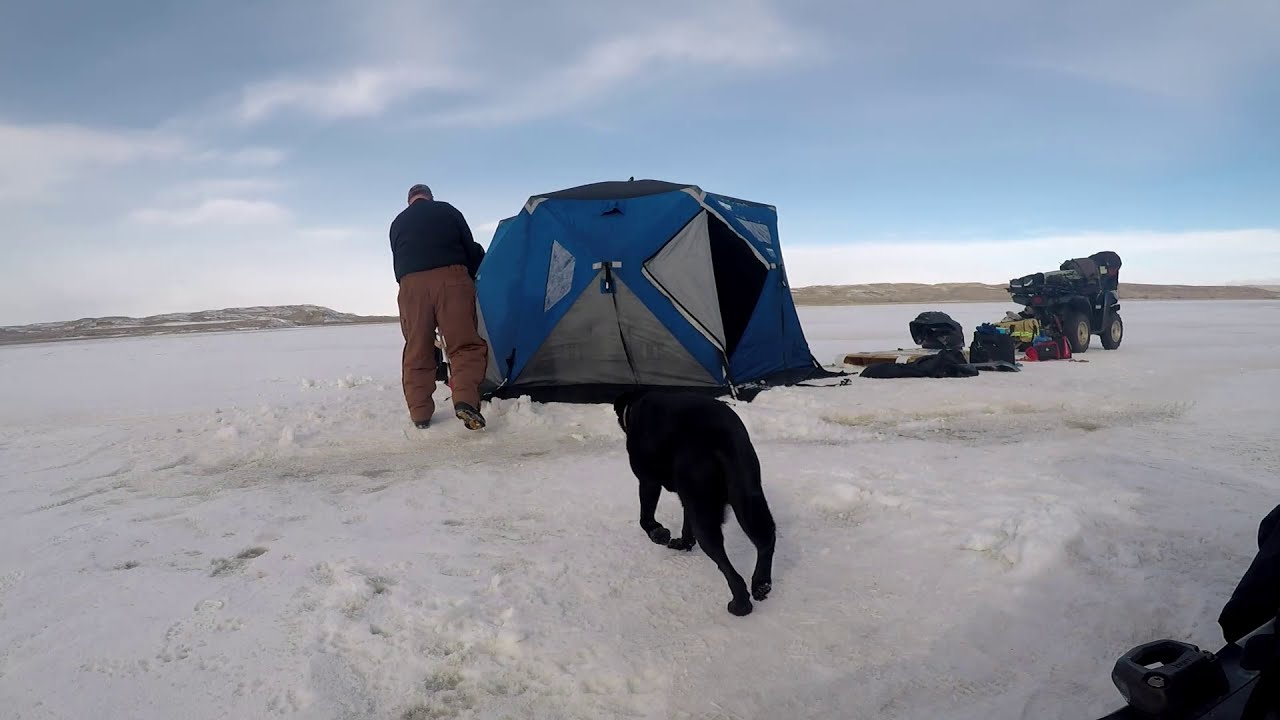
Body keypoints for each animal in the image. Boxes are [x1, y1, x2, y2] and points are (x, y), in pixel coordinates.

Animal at [614, 389, 773, 614]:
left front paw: (658, 533)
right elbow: (685, 526)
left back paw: (740, 604)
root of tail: (721, 439)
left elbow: (646, 517)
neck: (636, 405)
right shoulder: (687, 498)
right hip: (747, 498)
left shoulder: (648, 481)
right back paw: (761, 584)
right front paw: (682, 543)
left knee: (727, 567)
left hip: (705, 511)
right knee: (765, 540)